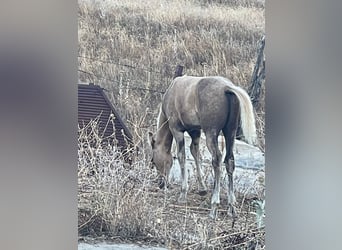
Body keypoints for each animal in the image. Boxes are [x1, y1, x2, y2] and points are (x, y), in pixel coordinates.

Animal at [148, 74, 256, 219]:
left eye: (153, 161)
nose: (161, 183)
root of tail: (227, 87)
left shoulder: (177, 130)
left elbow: (182, 157)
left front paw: (183, 193)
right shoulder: (195, 132)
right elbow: (196, 154)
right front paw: (202, 188)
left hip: (211, 132)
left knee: (217, 159)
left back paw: (214, 206)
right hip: (230, 132)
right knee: (229, 160)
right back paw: (231, 207)